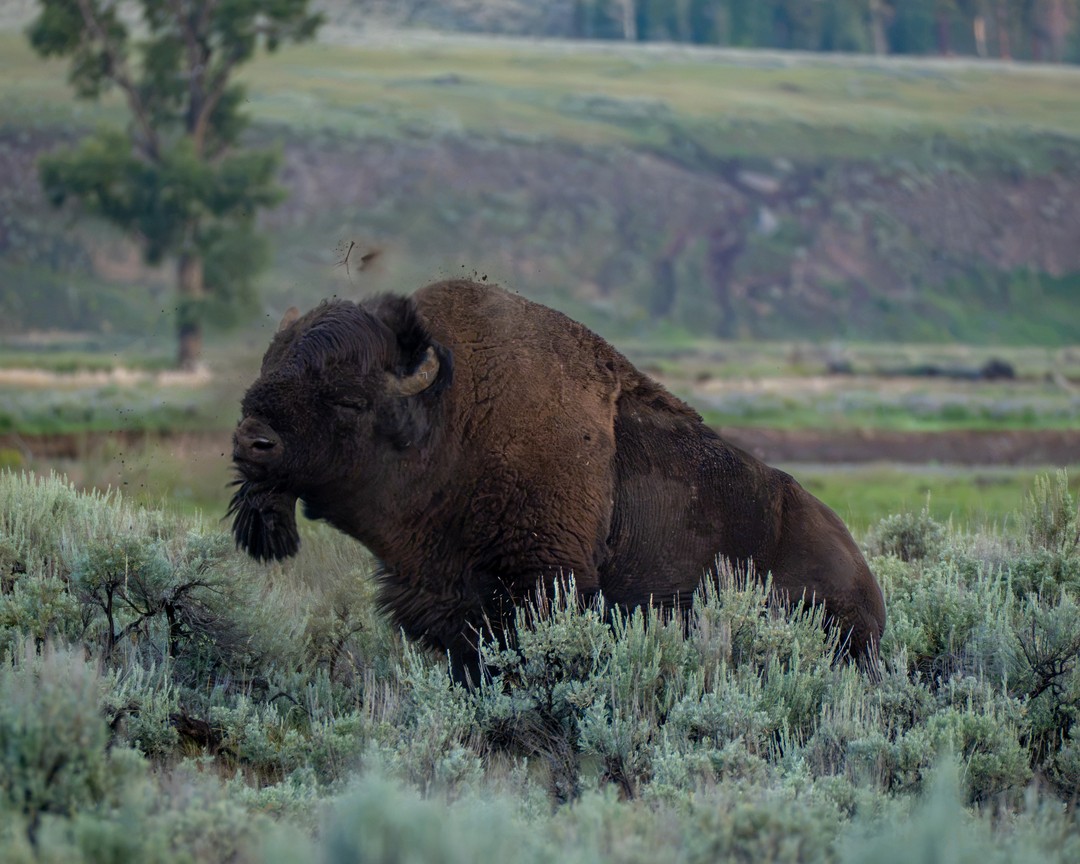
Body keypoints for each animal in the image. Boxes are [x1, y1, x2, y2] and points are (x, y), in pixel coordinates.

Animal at [230, 279, 885, 682]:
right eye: (265, 372)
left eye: (348, 399)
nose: (252, 442)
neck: (452, 417)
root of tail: (867, 583)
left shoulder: (539, 585)